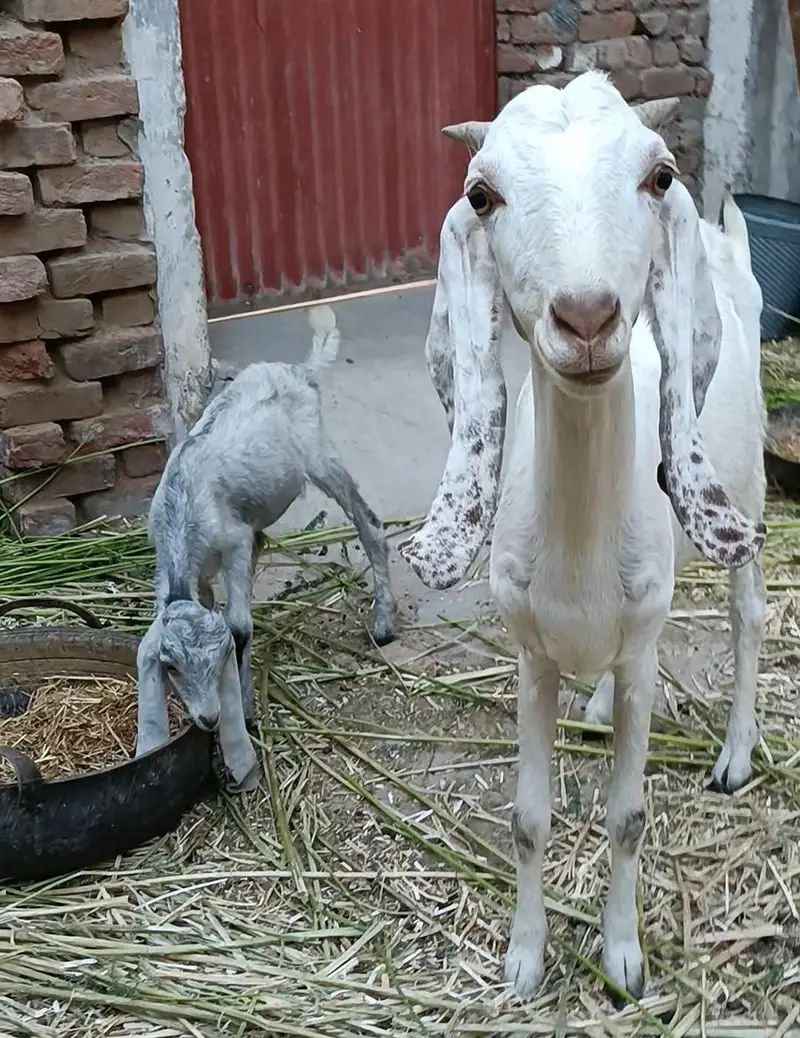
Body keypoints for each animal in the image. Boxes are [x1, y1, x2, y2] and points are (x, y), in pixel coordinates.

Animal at [137, 305, 394, 790]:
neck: (184, 505)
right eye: (171, 666)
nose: (208, 718)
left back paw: (384, 622)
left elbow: (238, 626)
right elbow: (209, 604)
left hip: (320, 454)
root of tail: (296, 369)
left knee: (368, 522)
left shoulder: (233, 543)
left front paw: (247, 710)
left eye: (217, 659)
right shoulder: (197, 569)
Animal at [400, 72, 766, 1000]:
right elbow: (528, 818)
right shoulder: (530, 655)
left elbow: (628, 815)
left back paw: (738, 754)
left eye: (659, 176)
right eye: (481, 194)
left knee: (749, 616)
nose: (590, 318)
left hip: (746, 488)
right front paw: (524, 960)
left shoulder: (642, 650)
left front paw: (623, 958)